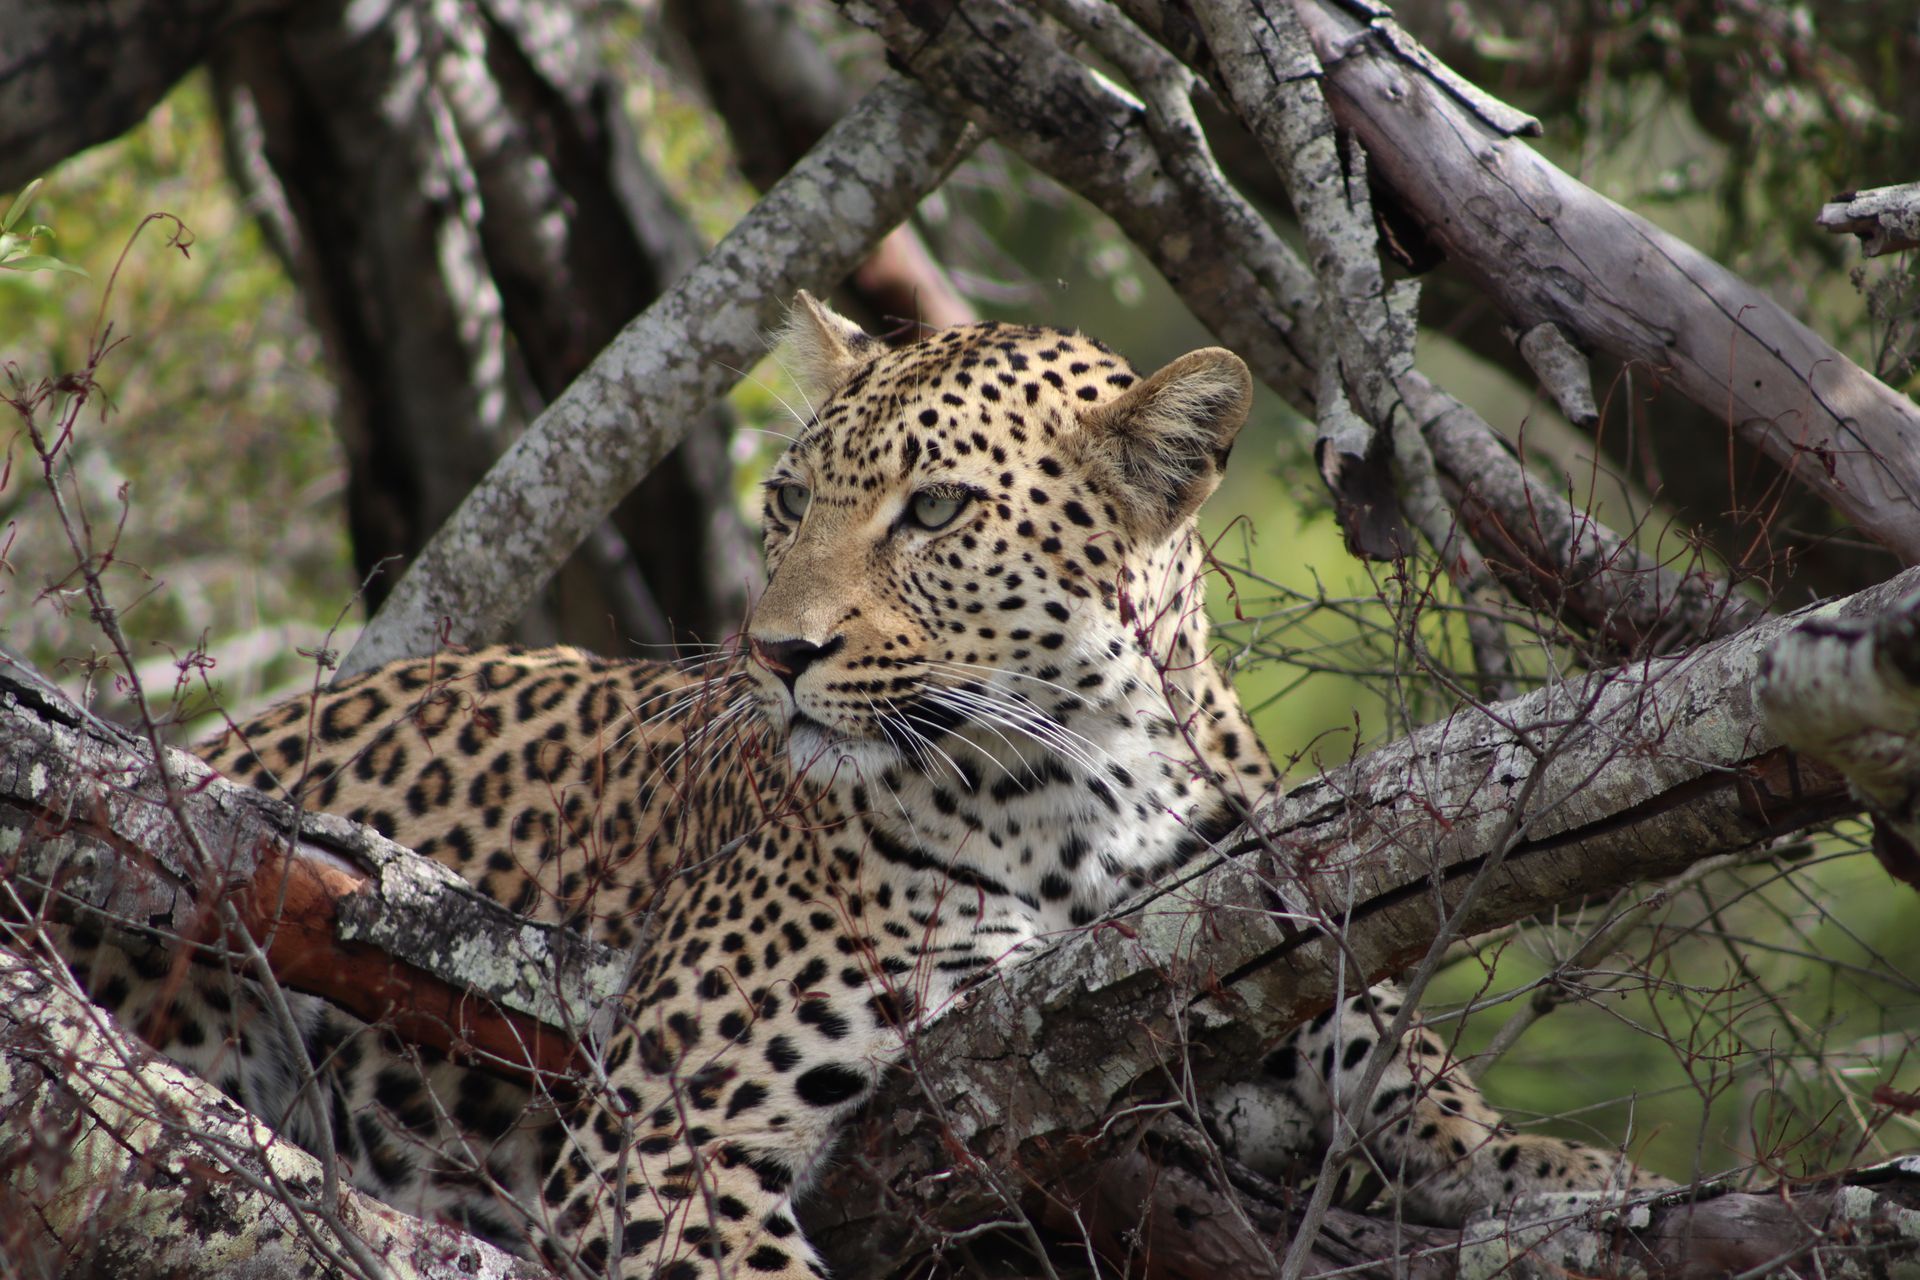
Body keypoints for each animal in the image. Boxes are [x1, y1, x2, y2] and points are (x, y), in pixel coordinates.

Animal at [56, 294, 1664, 1278]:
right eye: (785, 502)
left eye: (936, 508)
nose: (774, 651)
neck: (1085, 784)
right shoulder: (666, 1137)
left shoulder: (1243, 914)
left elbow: (1400, 1045)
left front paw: (1538, 1167)